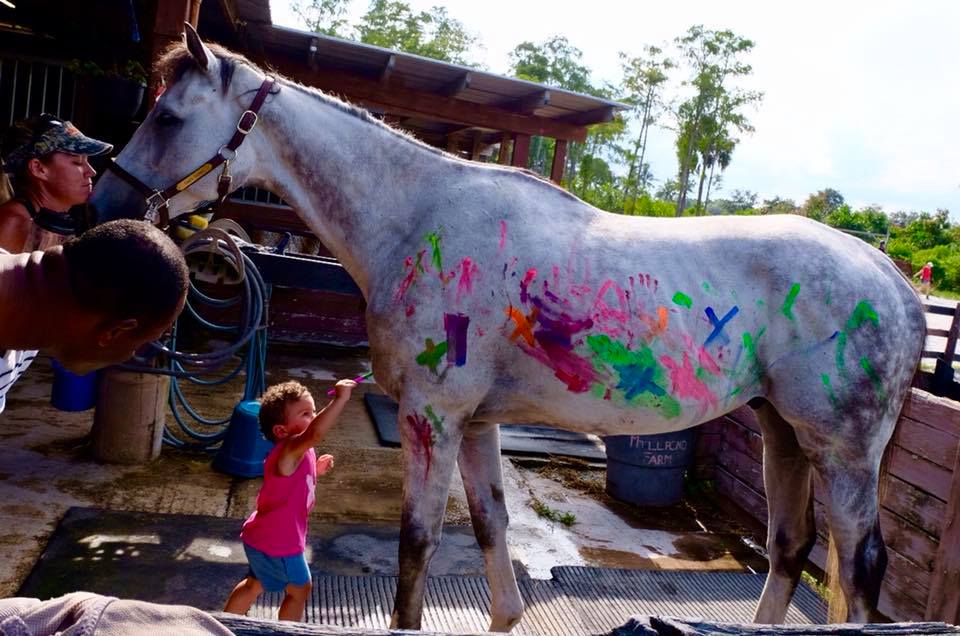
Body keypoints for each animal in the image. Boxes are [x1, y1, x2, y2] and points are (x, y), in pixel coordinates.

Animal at [91, 26, 926, 631]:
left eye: (168, 117)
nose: (106, 204)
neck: (414, 217)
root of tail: (896, 283)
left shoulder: (432, 418)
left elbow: (417, 546)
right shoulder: (478, 424)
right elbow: (492, 529)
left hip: (841, 454)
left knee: (858, 569)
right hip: (783, 434)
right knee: (788, 549)